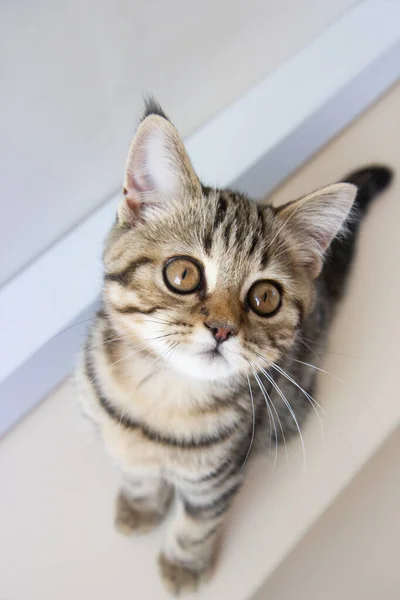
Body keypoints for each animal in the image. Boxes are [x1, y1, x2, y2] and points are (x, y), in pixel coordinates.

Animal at [76, 99, 394, 596]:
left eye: (265, 298)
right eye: (182, 274)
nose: (222, 329)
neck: (161, 399)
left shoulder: (221, 474)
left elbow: (197, 523)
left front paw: (183, 564)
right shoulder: (114, 431)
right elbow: (138, 472)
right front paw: (142, 505)